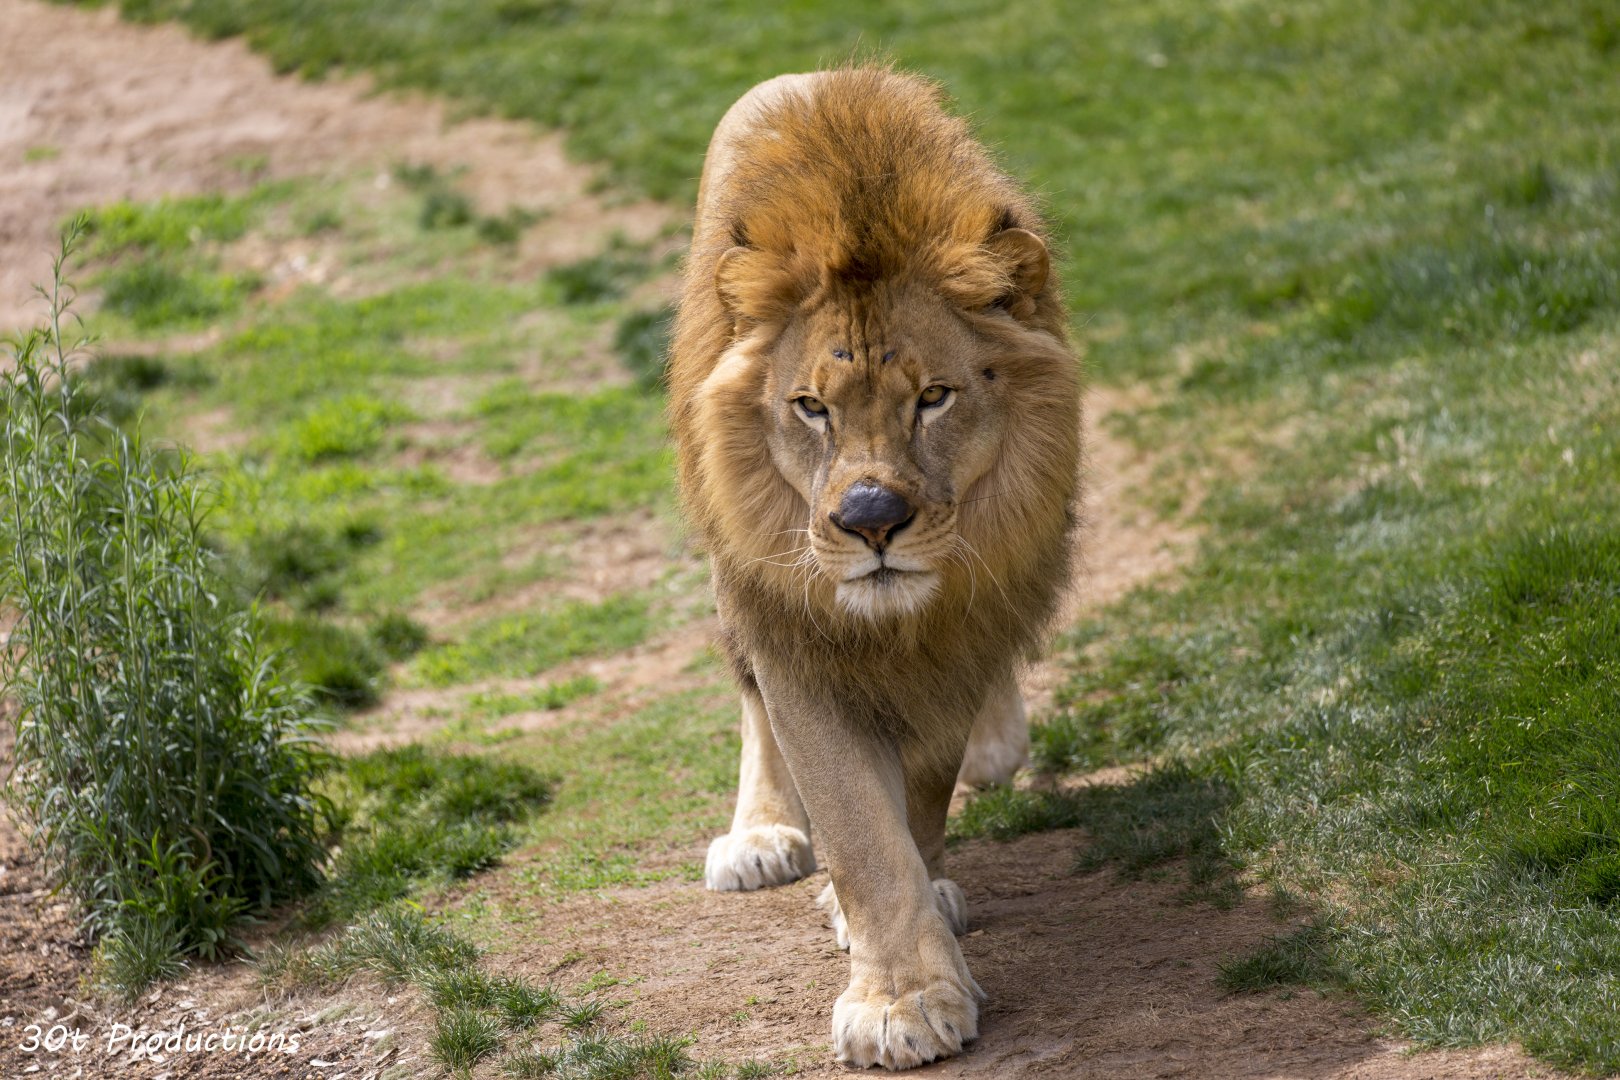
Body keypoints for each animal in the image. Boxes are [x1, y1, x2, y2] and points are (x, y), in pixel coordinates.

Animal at [667, 66, 1081, 1069]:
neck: (898, 624)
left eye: (933, 397)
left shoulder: (953, 644)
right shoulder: (798, 640)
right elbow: (860, 834)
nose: (869, 522)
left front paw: (924, 924)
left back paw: (997, 749)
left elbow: (919, 809)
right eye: (810, 407)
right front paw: (901, 1000)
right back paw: (761, 836)